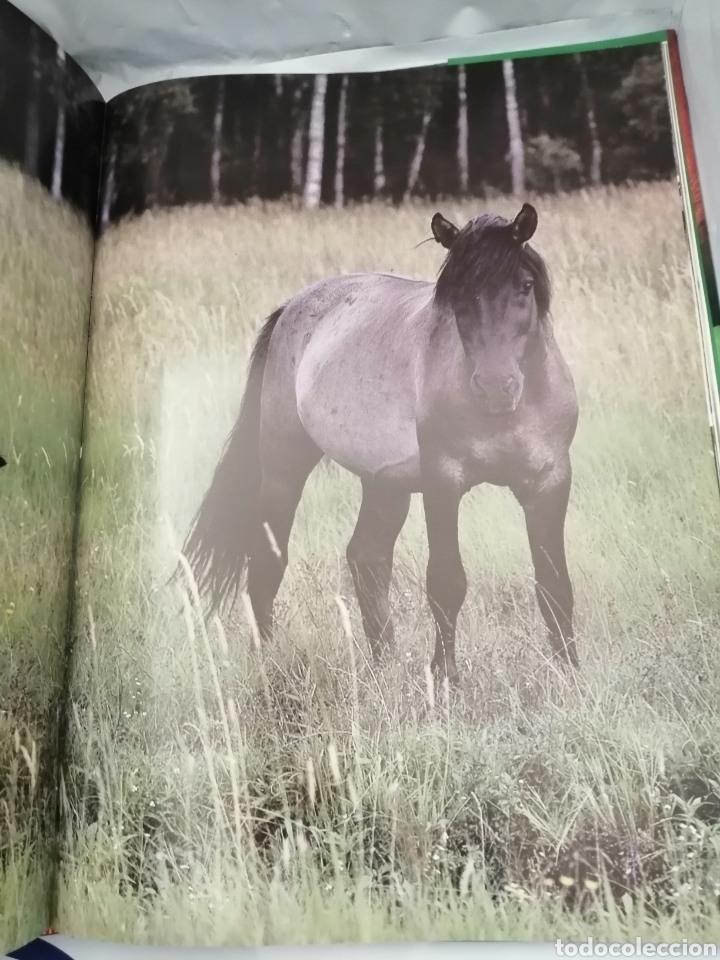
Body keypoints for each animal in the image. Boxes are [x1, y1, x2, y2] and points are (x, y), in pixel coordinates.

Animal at [183, 203, 579, 682]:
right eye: (459, 294)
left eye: (524, 286)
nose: (495, 388)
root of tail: (292, 307)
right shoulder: (443, 482)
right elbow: (446, 582)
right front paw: (445, 677)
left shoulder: (549, 481)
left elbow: (554, 584)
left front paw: (571, 672)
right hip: (283, 467)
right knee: (268, 559)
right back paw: (268, 661)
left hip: (385, 483)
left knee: (366, 557)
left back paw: (384, 662)